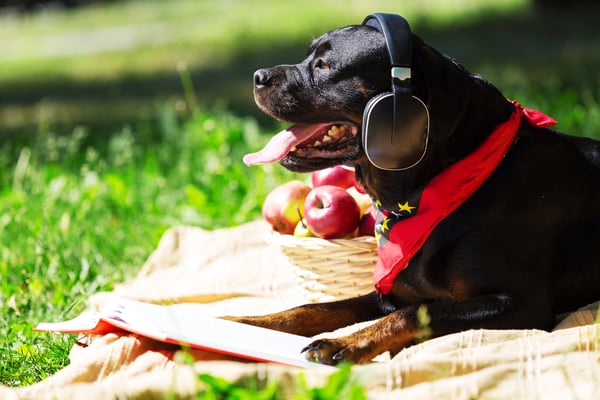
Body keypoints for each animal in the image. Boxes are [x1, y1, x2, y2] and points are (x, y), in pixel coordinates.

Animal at [232, 13, 600, 366]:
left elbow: (413, 314)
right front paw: (245, 322)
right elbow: (315, 308)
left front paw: (344, 342)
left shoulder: (520, 303)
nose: (258, 76)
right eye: (308, 57)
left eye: (325, 66)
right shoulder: (391, 292)